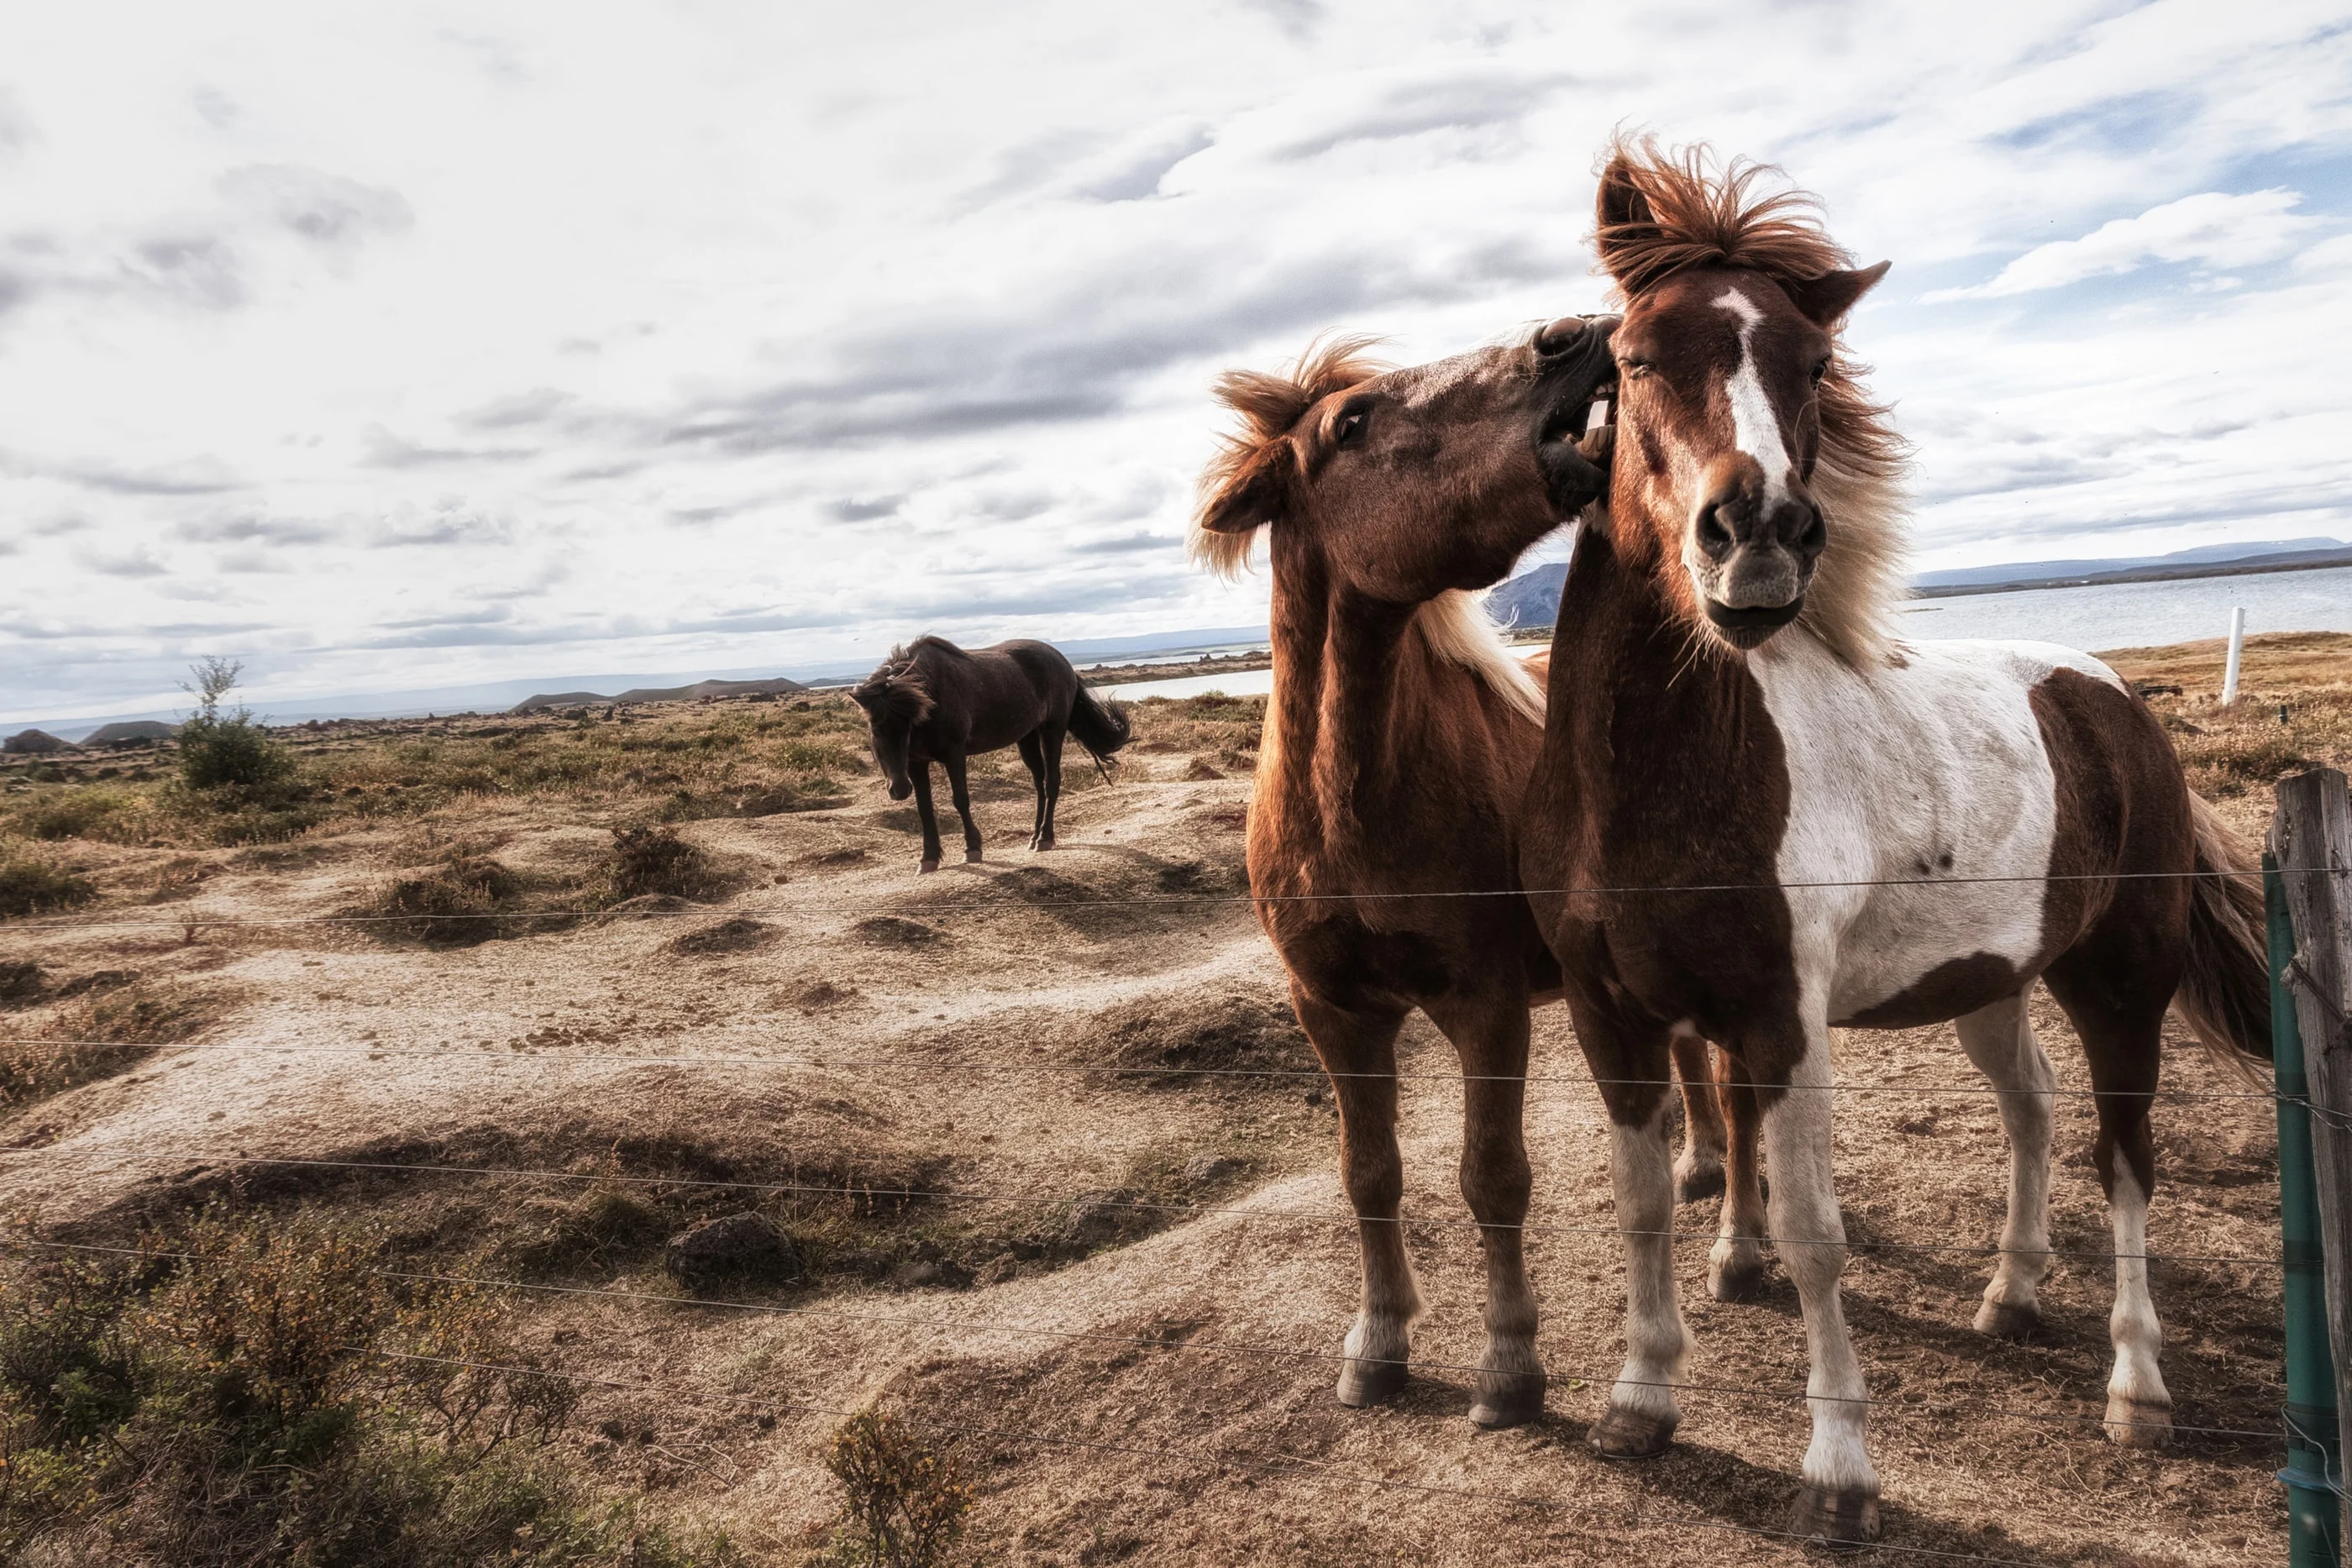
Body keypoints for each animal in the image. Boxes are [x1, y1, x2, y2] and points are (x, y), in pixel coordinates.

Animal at [849, 636, 1130, 872]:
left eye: (907, 726)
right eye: (875, 729)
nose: (898, 790)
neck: (931, 696)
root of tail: (1065, 663)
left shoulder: (954, 754)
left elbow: (961, 799)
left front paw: (972, 848)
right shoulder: (917, 763)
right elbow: (924, 808)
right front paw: (928, 858)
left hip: (1053, 730)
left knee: (1051, 782)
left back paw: (1045, 838)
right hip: (1027, 737)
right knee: (1039, 784)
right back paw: (1033, 837)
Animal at [1189, 320, 1749, 1428]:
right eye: (1351, 423)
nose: (1569, 339)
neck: (1348, 804)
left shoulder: (1485, 1006)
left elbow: (1491, 1177)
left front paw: (1508, 1367)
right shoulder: (1334, 1010)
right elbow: (1369, 1174)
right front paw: (1378, 1345)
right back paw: (1698, 1165)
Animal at [1511, 141, 2272, 1545]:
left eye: (1813, 362)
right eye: (1633, 357)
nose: (1758, 533)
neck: (1655, 782)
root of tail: (2115, 697)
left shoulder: (1781, 1016)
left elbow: (1816, 1232)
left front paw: (1839, 1472)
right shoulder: (1609, 1012)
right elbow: (1643, 1200)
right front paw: (1639, 1400)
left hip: (2119, 981)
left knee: (2125, 1156)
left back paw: (2137, 1387)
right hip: (1992, 981)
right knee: (2031, 1107)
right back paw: (2012, 1292)